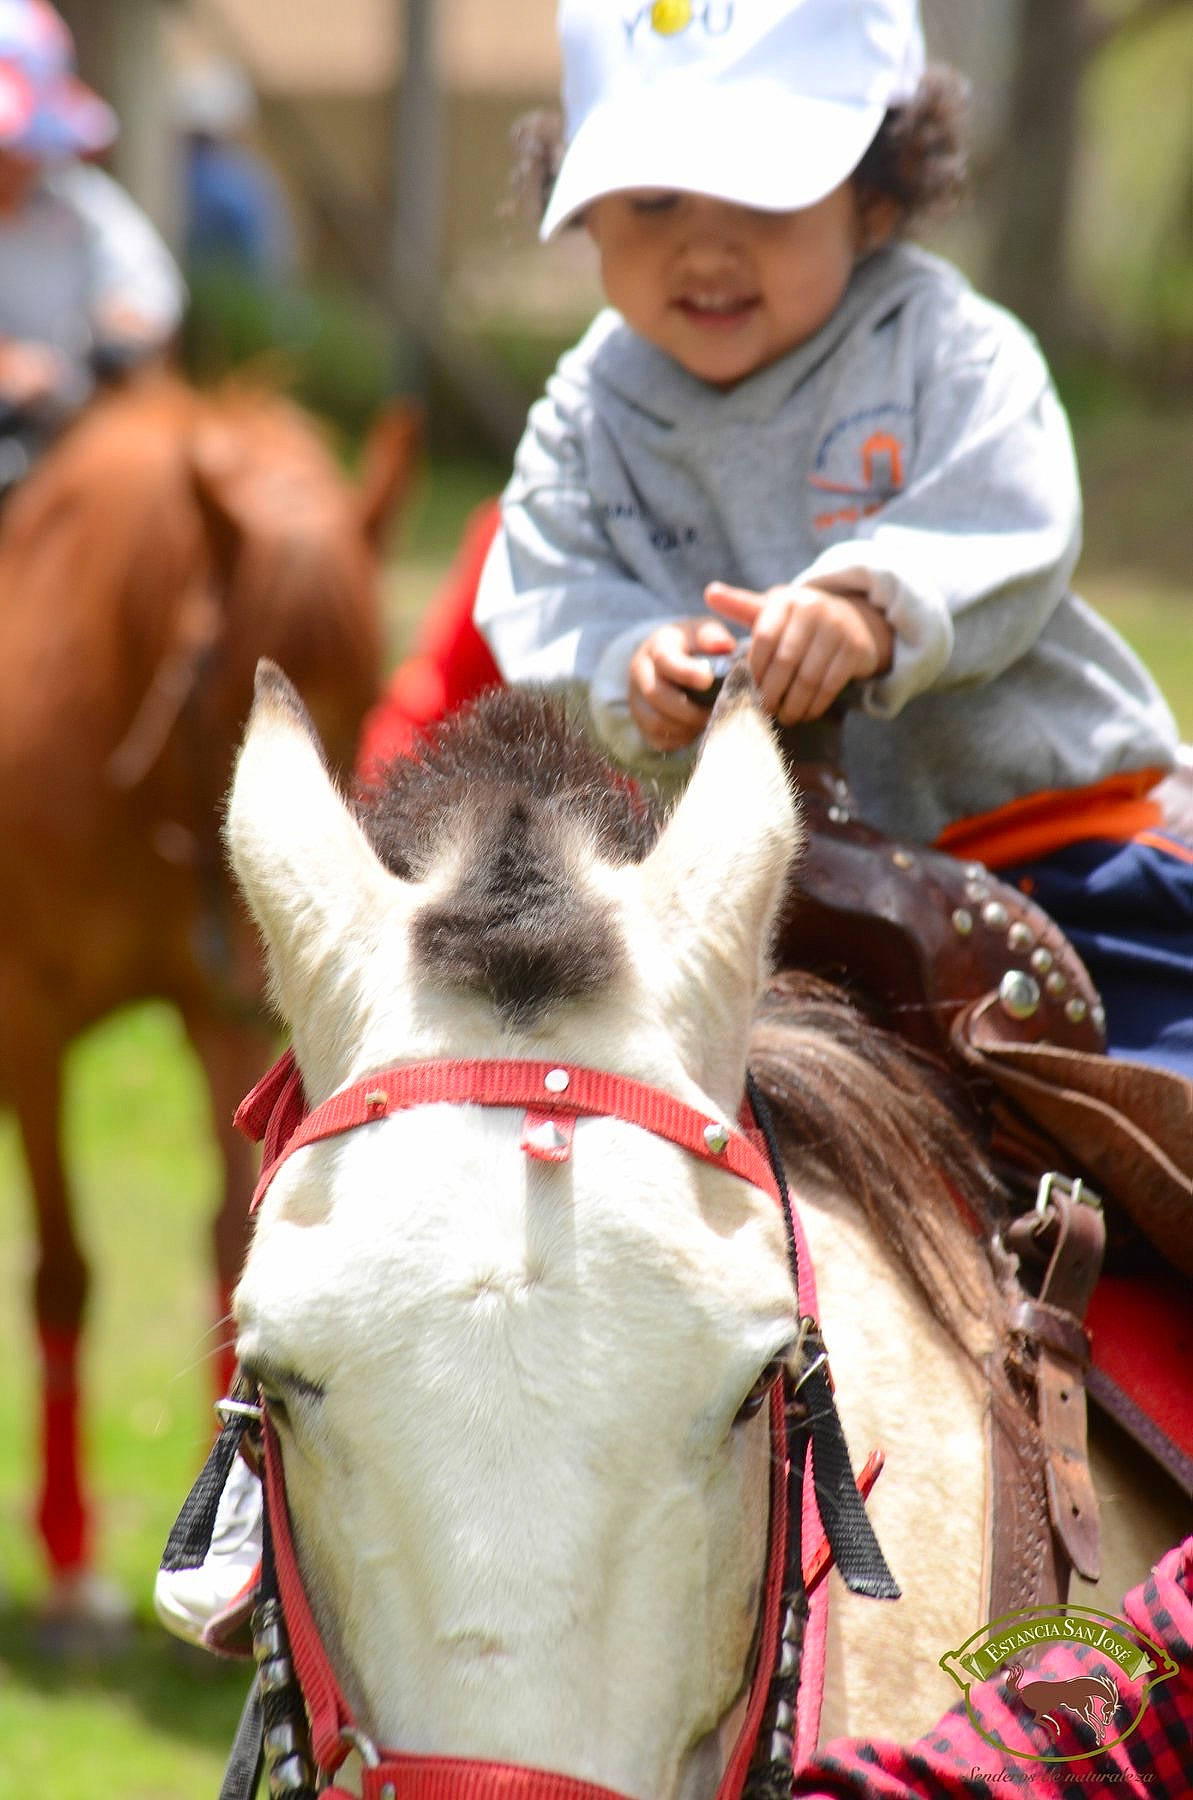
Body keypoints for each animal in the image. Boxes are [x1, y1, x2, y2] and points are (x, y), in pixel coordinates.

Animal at [0, 373, 418, 1637]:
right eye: (216, 693)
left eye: (371, 698)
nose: (273, 942)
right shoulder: (29, 1024)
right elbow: (64, 1273)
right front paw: (71, 1563)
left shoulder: (217, 1010)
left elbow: (234, 1242)